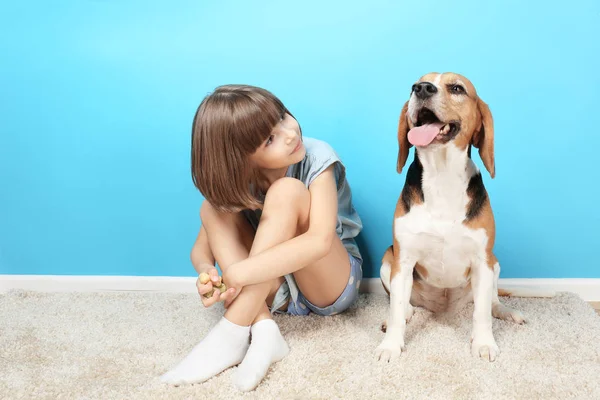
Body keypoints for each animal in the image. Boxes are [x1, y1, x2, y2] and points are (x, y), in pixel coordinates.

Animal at [376, 72, 552, 362]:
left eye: (457, 88)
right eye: (415, 84)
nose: (421, 89)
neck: (442, 175)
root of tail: (443, 309)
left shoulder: (482, 261)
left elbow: (481, 313)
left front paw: (483, 343)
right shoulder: (403, 259)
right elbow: (397, 307)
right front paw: (391, 345)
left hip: (494, 263)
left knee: (491, 302)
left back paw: (506, 311)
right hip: (387, 259)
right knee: (402, 304)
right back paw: (403, 315)